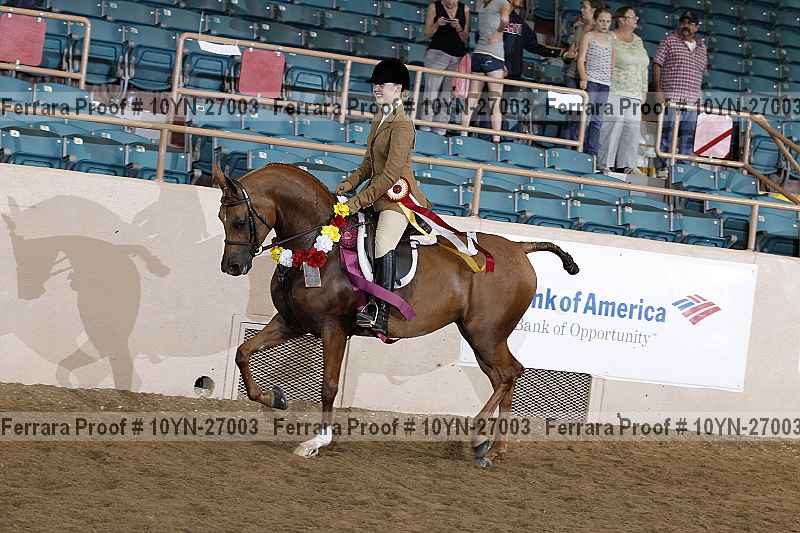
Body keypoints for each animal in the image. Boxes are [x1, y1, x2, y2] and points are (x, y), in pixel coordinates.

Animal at [212, 163, 579, 467]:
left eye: (240, 221)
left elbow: (329, 386)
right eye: (221, 219)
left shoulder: (334, 328)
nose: (231, 267)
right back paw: (495, 447)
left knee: (508, 374)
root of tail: (518, 248)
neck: (318, 246)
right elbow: (243, 353)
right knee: (506, 375)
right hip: (480, 337)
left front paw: (317, 442)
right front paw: (273, 397)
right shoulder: (291, 322)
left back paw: (478, 438)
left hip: (485, 334)